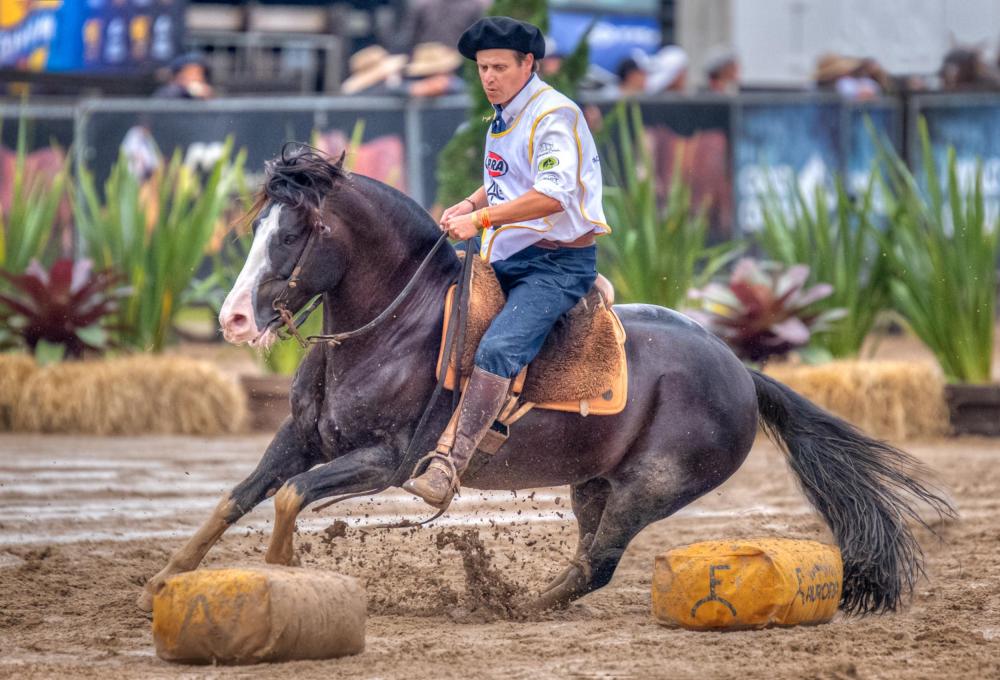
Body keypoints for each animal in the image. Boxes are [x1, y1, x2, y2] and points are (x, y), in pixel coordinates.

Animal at [137, 150, 948, 616]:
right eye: (257, 226)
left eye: (297, 231)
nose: (234, 318)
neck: (391, 328)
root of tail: (740, 369)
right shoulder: (302, 436)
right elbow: (238, 496)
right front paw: (164, 581)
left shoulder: (385, 461)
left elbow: (287, 498)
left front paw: (281, 577)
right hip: (594, 483)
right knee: (591, 553)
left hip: (651, 487)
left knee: (598, 564)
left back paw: (519, 605)